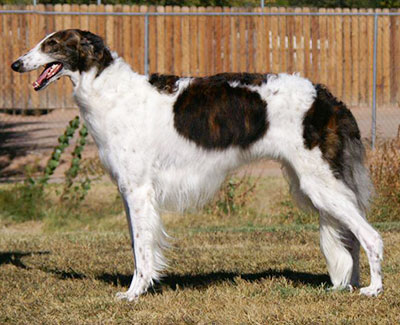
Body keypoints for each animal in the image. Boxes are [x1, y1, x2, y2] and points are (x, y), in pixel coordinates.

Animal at [10, 29, 382, 298]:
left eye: (51, 43)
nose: (15, 64)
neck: (110, 90)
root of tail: (326, 96)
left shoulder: (138, 190)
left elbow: (142, 250)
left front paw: (134, 293)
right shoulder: (129, 191)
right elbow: (136, 244)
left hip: (319, 182)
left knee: (371, 236)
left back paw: (373, 289)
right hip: (314, 183)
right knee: (350, 238)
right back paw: (348, 286)